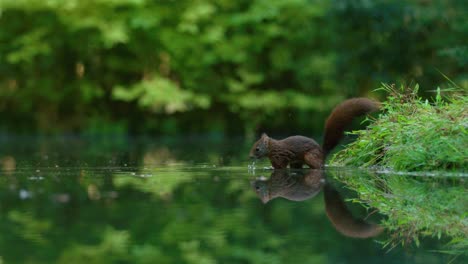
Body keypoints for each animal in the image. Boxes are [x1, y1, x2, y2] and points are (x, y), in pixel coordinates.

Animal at [249, 97, 380, 169]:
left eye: (257, 149)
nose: (250, 157)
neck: (273, 148)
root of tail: (322, 154)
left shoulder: (280, 157)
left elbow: (280, 167)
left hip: (309, 157)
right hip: (297, 162)